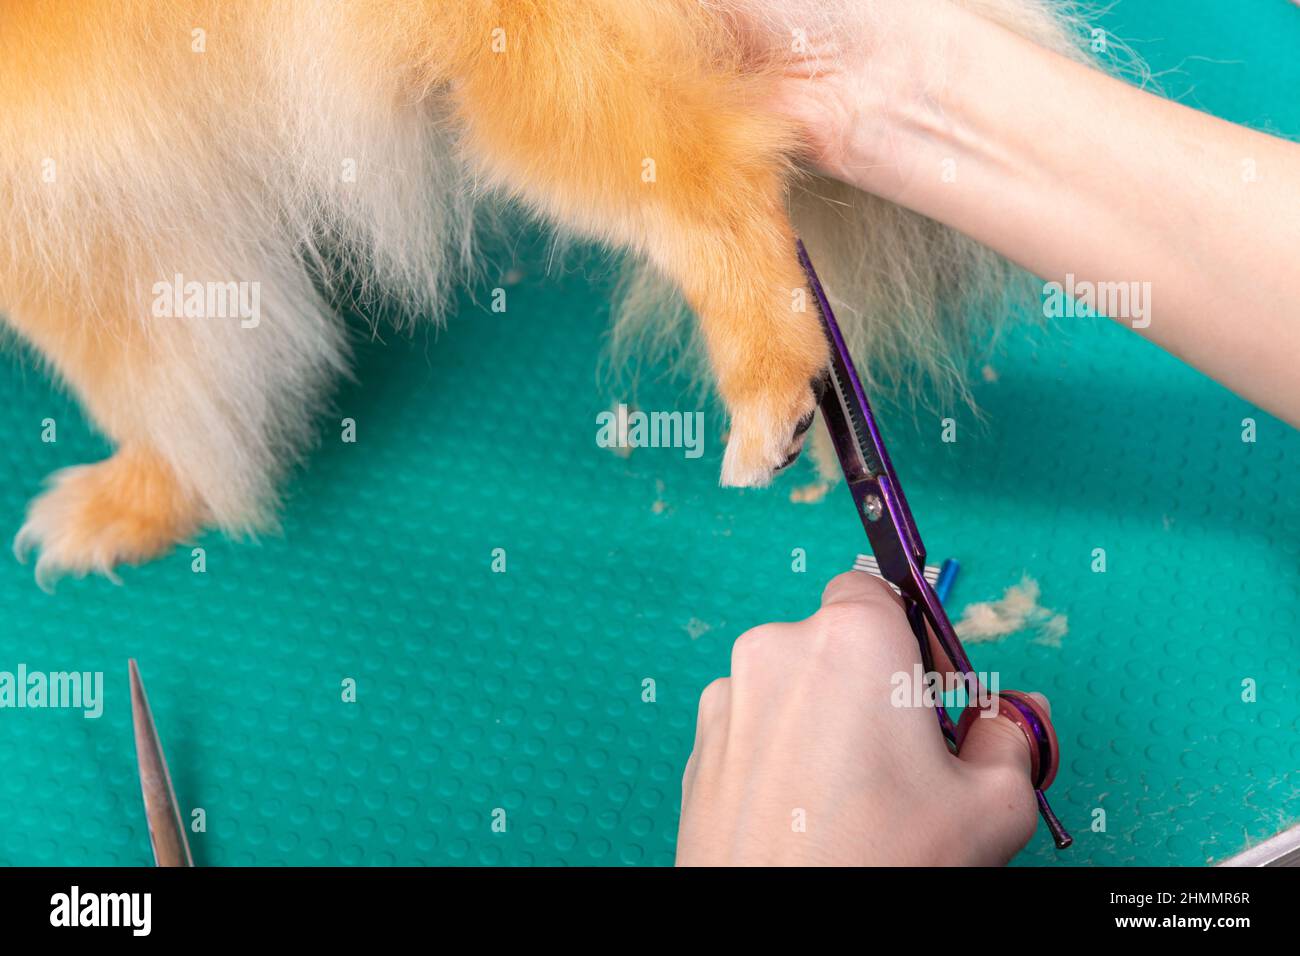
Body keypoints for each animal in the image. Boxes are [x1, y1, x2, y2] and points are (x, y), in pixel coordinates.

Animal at [0, 0, 1097, 587]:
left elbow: (136, 375)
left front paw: (133, 497)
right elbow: (193, 353)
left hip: (520, 68)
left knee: (716, 177)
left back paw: (766, 395)